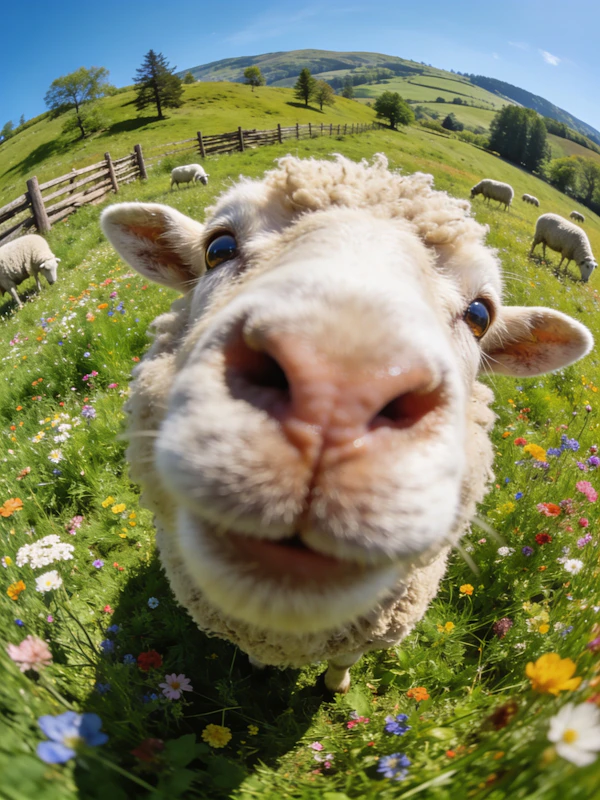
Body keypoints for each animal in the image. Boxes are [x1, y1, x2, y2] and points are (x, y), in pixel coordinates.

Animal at [101, 154, 592, 693]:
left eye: (480, 315)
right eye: (218, 249)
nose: (335, 394)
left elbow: (343, 662)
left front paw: (335, 687)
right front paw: (258, 669)